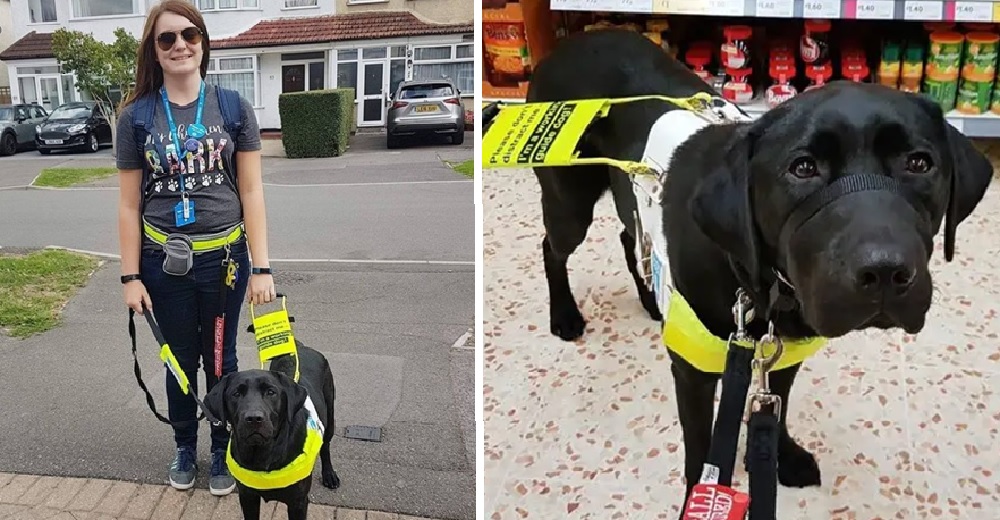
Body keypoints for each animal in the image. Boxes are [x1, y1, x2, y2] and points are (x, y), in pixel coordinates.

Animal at [205, 344, 342, 516]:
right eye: (236, 394)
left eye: (271, 392)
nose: (254, 418)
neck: (263, 454)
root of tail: (302, 346)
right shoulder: (247, 497)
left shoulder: (298, 502)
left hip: (330, 416)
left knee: (325, 446)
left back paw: (329, 475)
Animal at [528, 29, 996, 512]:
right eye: (803, 168)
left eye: (919, 163)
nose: (884, 272)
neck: (764, 287)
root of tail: (571, 43)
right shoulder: (693, 370)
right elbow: (700, 447)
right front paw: (699, 496)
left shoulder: (785, 351)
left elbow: (778, 403)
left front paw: (782, 458)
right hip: (569, 202)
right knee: (552, 248)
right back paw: (564, 314)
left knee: (629, 236)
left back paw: (650, 300)